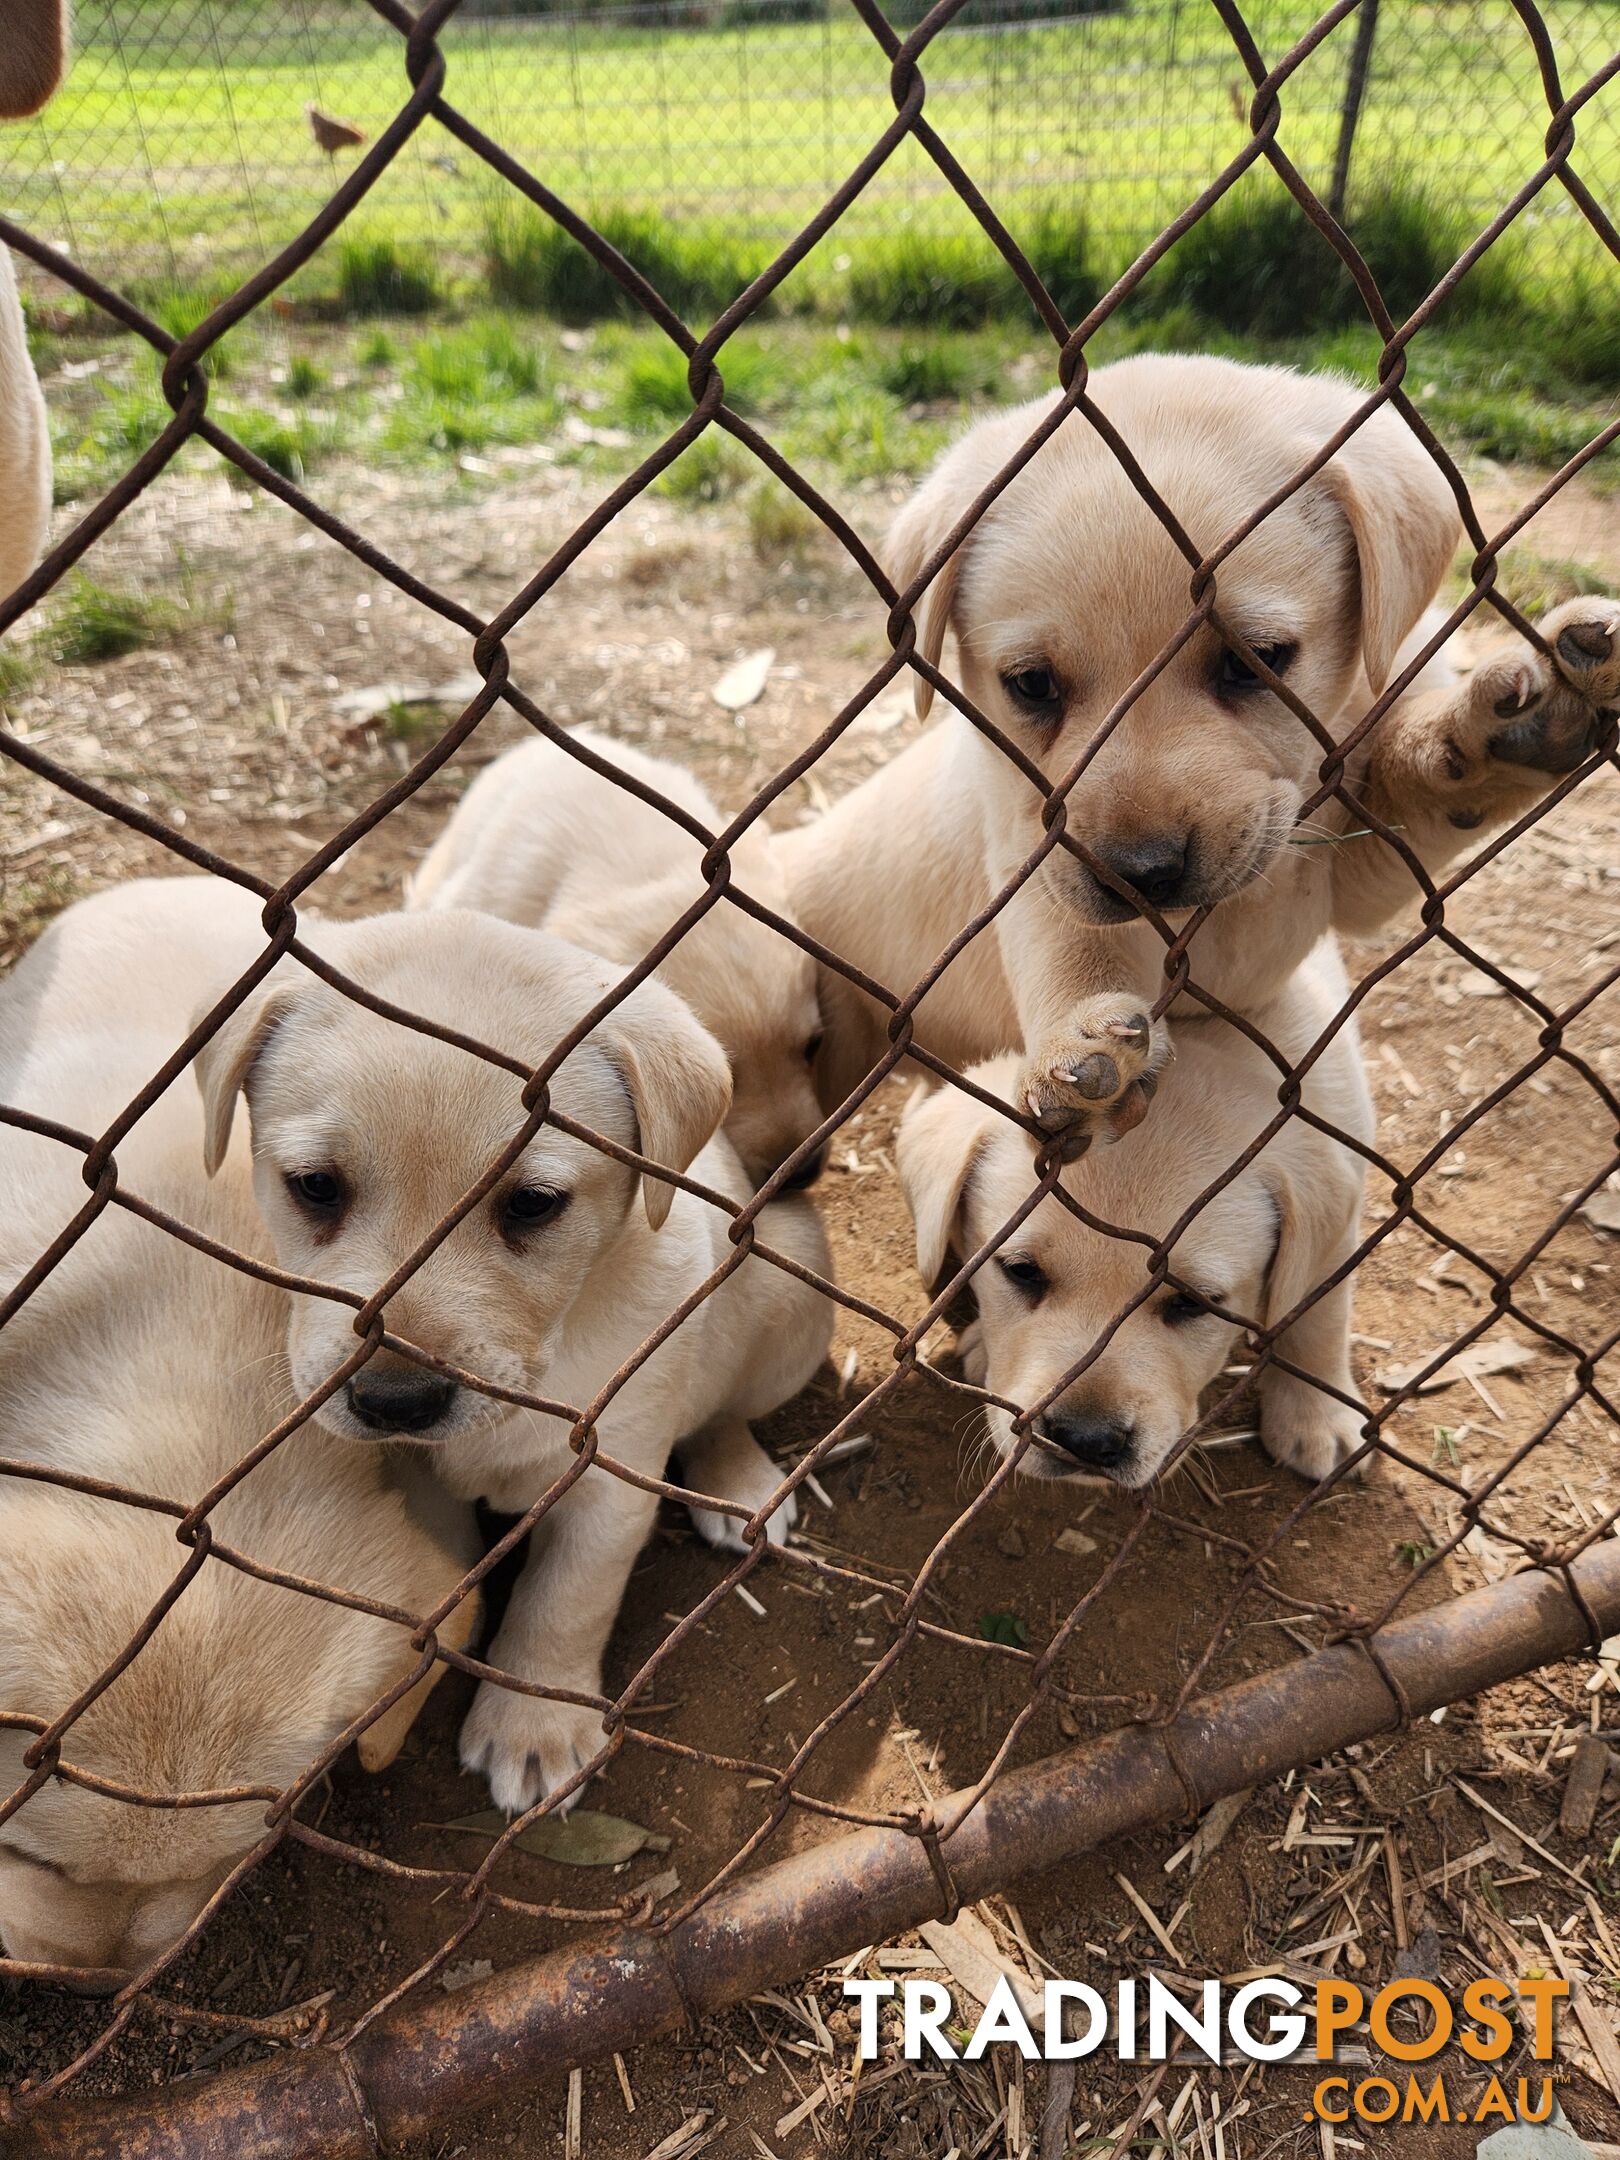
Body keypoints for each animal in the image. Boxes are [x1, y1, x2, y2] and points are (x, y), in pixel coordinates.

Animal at [186, 876, 838, 1805]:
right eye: (314, 1187)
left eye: (532, 1204)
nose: (397, 1401)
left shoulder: (609, 1473)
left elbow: (566, 1599)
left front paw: (536, 1724)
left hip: (789, 1294)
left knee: (722, 1414)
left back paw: (739, 1484)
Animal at [781, 349, 1615, 1149]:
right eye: (1032, 685)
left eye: (1257, 660)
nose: (1144, 872)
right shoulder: (1030, 834)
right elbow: (1065, 937)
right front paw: (1077, 1041)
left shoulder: (1355, 873)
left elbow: (1412, 780)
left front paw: (1495, 731)